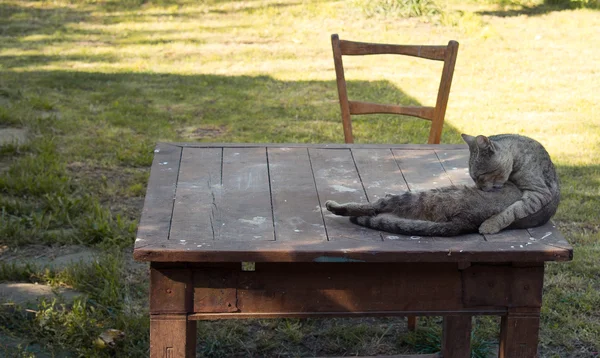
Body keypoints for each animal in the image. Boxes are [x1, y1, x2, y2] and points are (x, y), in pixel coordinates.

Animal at [326, 133, 560, 236]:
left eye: (482, 175)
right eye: (473, 177)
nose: (480, 188)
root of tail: (465, 222)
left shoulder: (538, 190)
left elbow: (515, 209)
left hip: (420, 196)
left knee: (374, 206)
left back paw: (335, 206)